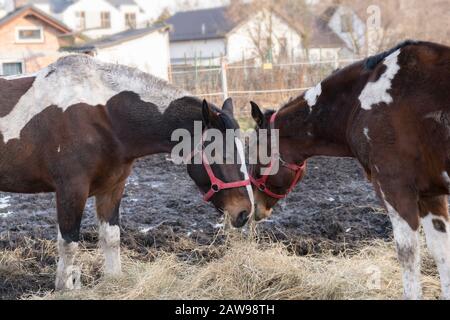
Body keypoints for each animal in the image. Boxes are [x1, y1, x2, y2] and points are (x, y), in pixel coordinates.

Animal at [0, 54, 253, 290]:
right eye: (220, 154)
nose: (244, 212)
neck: (104, 116)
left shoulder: (113, 187)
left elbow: (111, 237)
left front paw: (114, 280)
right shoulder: (71, 189)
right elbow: (69, 243)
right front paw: (66, 288)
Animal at [250, 40, 450, 300]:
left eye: (254, 152)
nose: (255, 207)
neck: (359, 102)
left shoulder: (395, 188)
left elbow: (408, 255)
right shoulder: (430, 194)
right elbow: (441, 252)